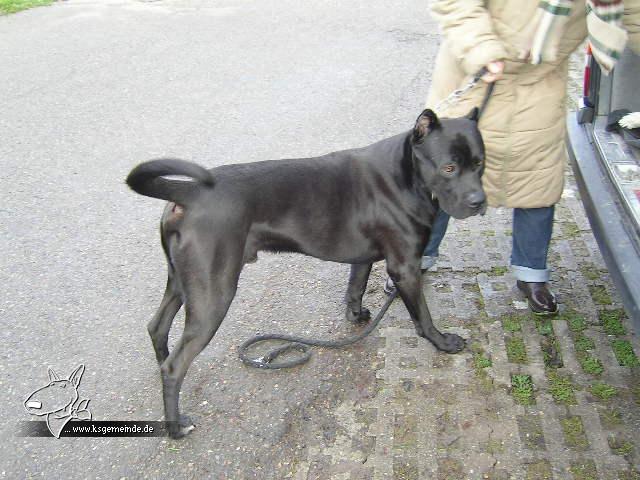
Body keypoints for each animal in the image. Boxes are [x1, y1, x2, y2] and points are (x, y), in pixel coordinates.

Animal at [126, 109, 484, 438]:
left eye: (480, 164)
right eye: (449, 168)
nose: (479, 201)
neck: (407, 174)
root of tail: (187, 193)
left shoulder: (363, 258)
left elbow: (355, 287)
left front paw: (356, 316)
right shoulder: (405, 268)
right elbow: (422, 316)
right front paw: (443, 342)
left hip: (182, 282)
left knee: (157, 327)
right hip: (213, 293)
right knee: (175, 366)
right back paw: (176, 427)